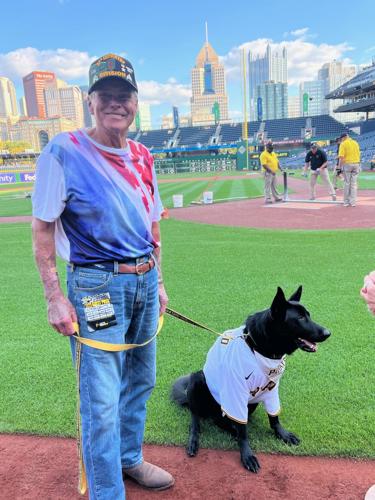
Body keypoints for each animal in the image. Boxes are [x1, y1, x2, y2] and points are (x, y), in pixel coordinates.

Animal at [172, 288, 330, 474]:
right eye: (300, 318)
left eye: (308, 315)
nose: (328, 333)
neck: (260, 349)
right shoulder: (236, 392)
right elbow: (243, 432)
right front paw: (247, 455)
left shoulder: (271, 389)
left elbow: (274, 417)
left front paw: (282, 434)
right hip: (197, 379)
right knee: (196, 420)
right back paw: (195, 439)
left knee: (222, 421)